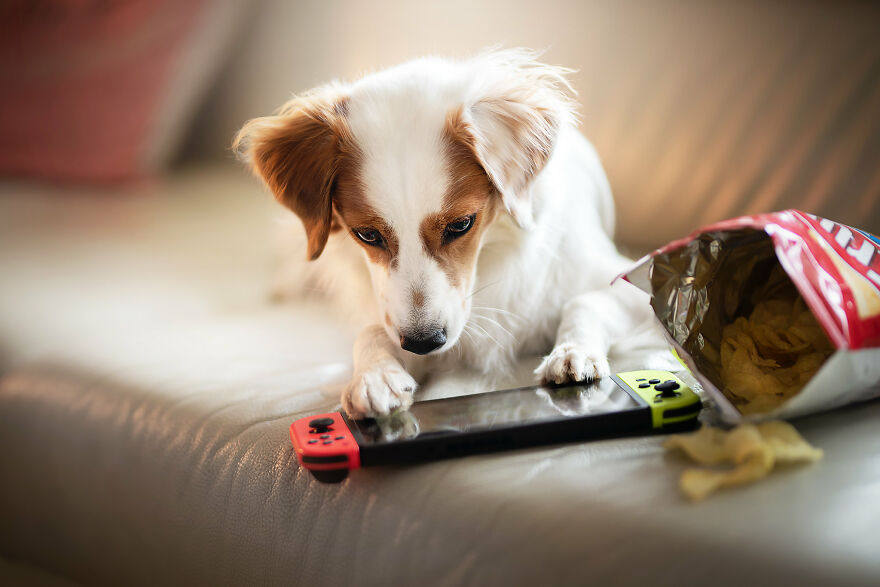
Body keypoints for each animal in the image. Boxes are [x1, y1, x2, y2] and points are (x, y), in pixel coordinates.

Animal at [234, 49, 672, 418]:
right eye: (367, 235)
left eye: (461, 225)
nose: (424, 342)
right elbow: (373, 331)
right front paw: (375, 374)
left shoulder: (630, 283)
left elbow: (585, 303)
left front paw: (573, 353)